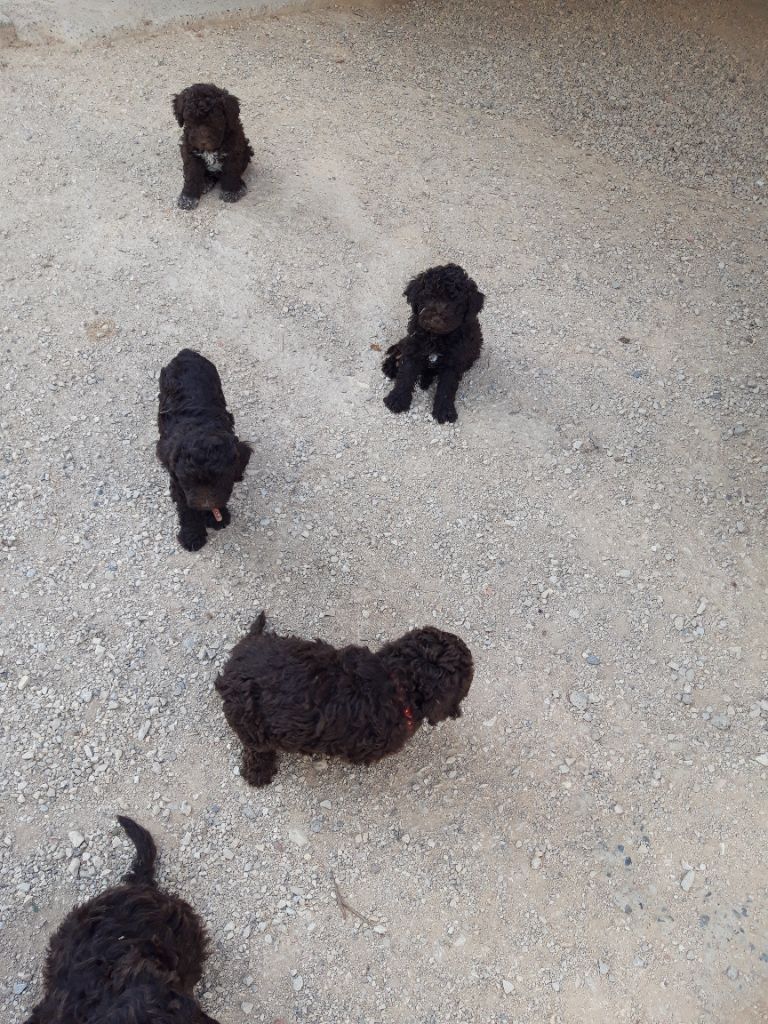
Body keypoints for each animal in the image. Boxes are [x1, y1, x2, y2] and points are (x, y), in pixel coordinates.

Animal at [385, 264, 487, 428]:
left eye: (454, 302)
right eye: (429, 296)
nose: (436, 319)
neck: (436, 338)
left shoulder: (453, 362)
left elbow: (446, 387)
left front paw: (444, 411)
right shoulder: (414, 349)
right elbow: (405, 375)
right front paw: (397, 399)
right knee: (401, 346)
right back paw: (391, 365)